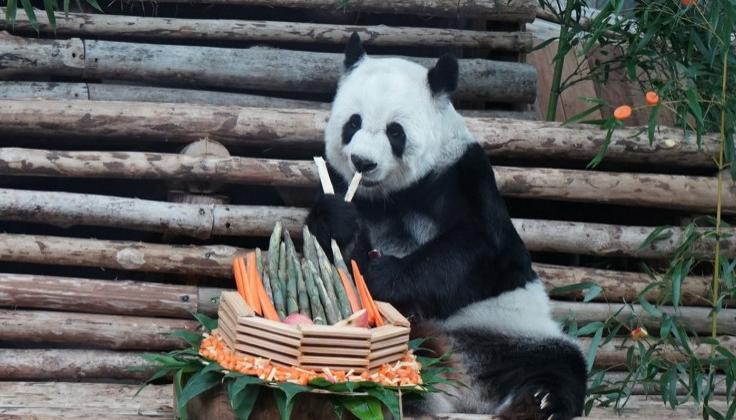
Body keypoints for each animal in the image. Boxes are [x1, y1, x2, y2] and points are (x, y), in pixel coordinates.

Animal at [306, 33, 587, 420]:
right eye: (352, 123)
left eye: (395, 132)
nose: (363, 161)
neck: (389, 195)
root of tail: (462, 390)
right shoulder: (340, 180)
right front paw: (338, 222)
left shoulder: (461, 175)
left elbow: (479, 249)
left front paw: (385, 276)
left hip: (513, 331)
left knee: (560, 363)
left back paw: (540, 401)